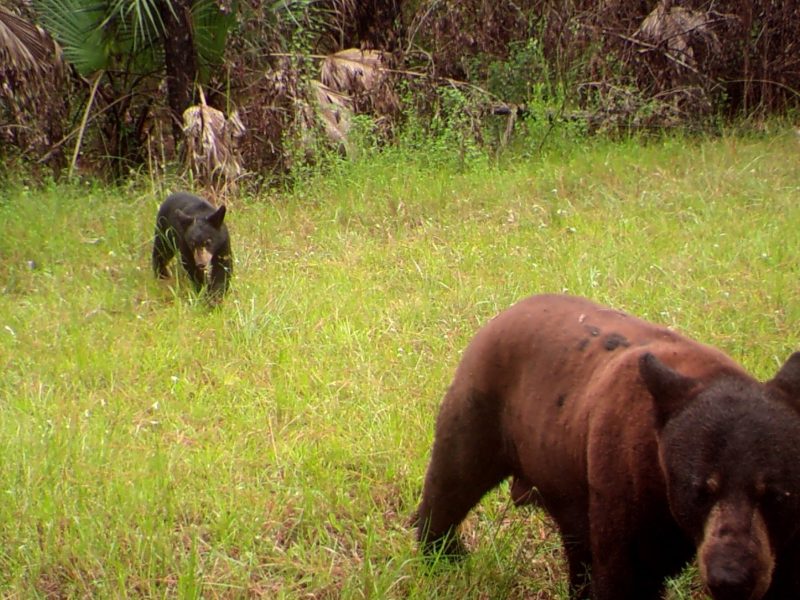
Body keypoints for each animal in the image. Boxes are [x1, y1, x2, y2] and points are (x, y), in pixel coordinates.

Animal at [416, 294, 800, 600]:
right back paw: (442, 554)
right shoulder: (625, 488)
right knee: (451, 484)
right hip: (481, 411)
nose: (731, 579)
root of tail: (502, 314)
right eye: (698, 491)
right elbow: (625, 575)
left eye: (777, 494)